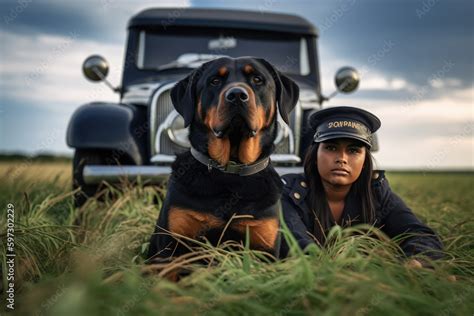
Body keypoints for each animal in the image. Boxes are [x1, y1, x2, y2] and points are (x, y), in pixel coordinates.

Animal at [146, 56, 298, 262]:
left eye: (257, 79)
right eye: (215, 81)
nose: (237, 95)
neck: (231, 171)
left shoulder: (264, 246)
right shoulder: (173, 244)